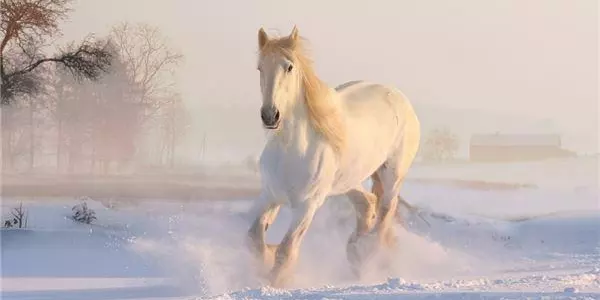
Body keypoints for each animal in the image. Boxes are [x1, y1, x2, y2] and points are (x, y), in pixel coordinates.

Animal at [248, 27, 422, 288]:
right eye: (260, 68)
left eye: (289, 67)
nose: (270, 115)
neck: (292, 150)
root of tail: (399, 97)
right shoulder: (270, 195)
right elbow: (254, 239)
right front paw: (265, 260)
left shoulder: (307, 205)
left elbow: (286, 250)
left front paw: (276, 281)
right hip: (348, 181)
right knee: (367, 203)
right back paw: (356, 251)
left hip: (393, 174)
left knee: (384, 212)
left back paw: (366, 253)